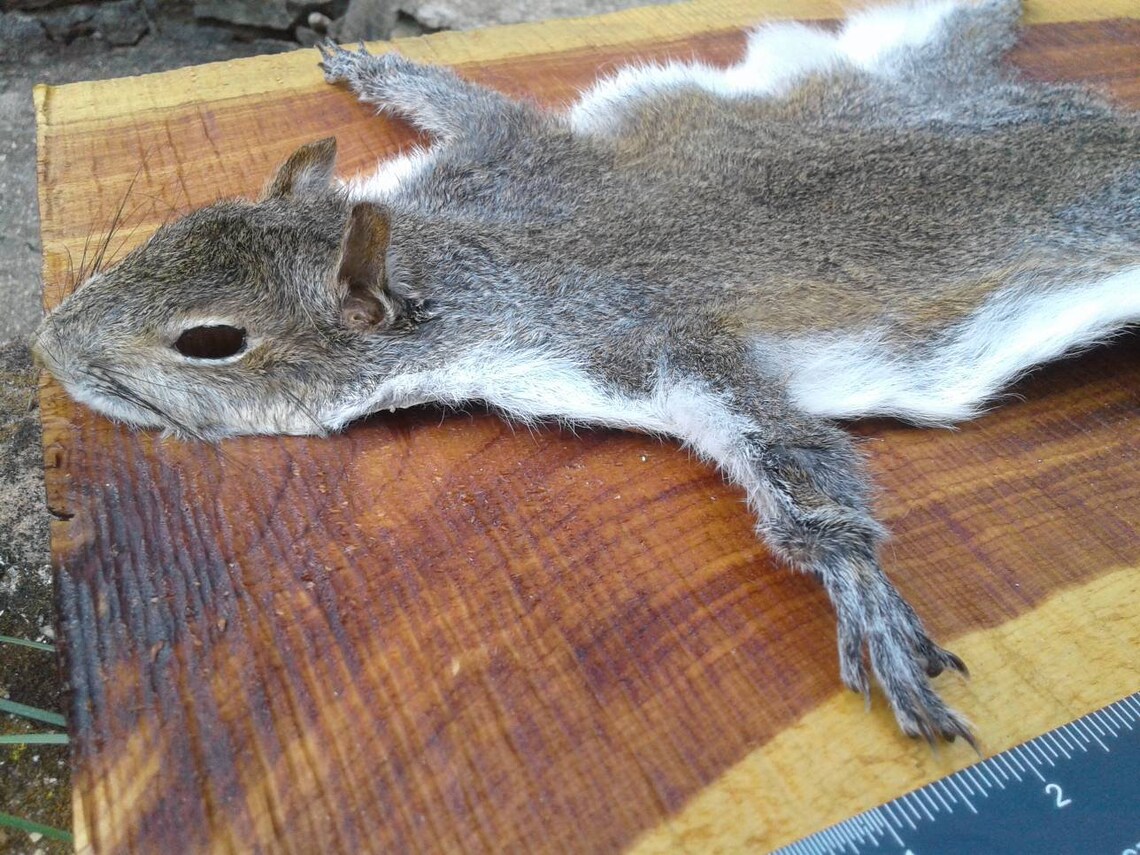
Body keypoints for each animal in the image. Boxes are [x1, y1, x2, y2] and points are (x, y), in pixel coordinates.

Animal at [32, 0, 1139, 743]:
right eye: (180, 226)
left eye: (210, 342)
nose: (43, 343)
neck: (456, 251)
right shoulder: (510, 152)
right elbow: (469, 101)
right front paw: (378, 65)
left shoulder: (645, 338)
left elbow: (788, 460)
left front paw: (862, 591)